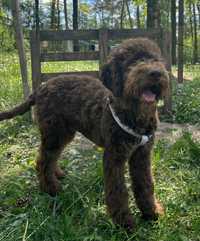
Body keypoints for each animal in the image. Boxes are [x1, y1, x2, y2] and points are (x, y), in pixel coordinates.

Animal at [0, 37, 169, 230]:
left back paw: (57, 174)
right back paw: (51, 189)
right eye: (132, 62)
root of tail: (40, 89)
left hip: (64, 133)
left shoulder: (142, 155)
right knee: (43, 160)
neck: (135, 115)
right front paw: (125, 223)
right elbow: (118, 191)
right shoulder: (114, 157)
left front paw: (151, 213)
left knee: (50, 157)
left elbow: (146, 184)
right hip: (54, 133)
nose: (156, 73)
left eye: (155, 59)